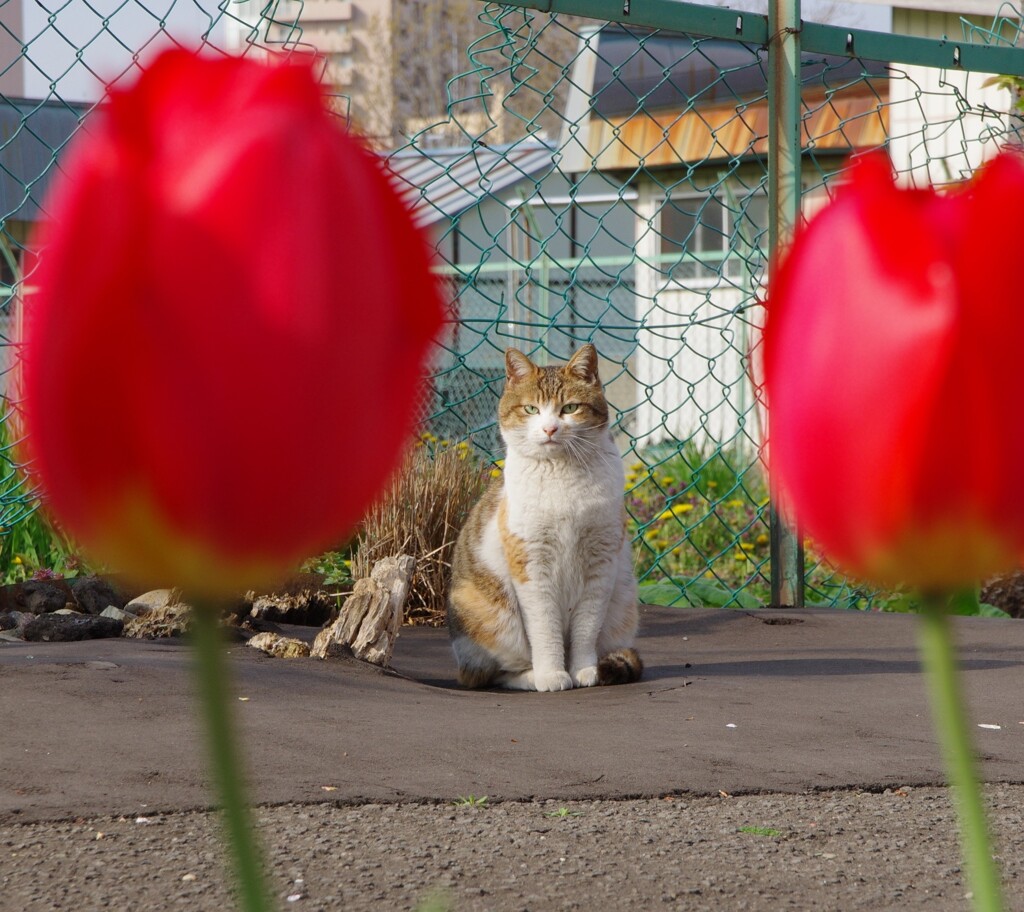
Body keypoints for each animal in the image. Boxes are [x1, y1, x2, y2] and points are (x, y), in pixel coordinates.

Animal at [446, 343, 638, 691]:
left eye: (570, 408)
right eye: (531, 409)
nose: (550, 429)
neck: (562, 474)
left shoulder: (601, 563)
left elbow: (586, 627)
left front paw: (584, 670)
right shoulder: (532, 564)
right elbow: (545, 627)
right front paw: (551, 674)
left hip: (624, 603)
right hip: (490, 617)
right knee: (494, 673)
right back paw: (532, 676)